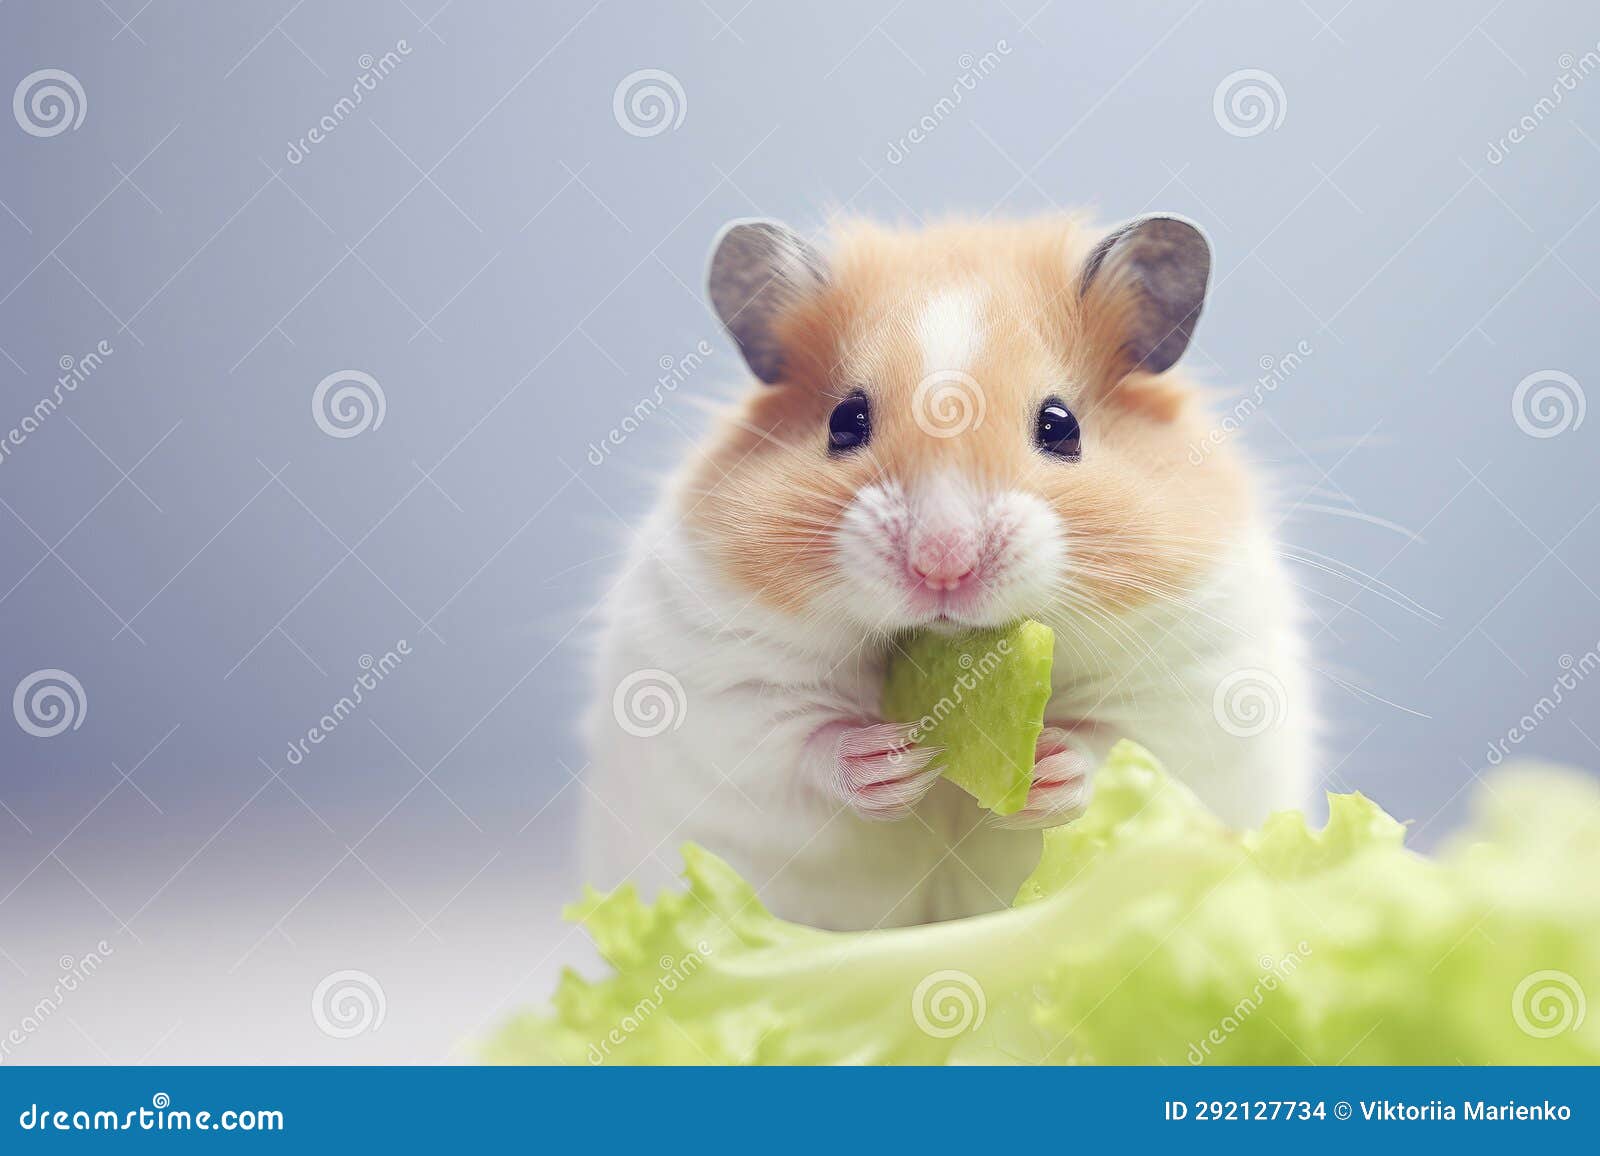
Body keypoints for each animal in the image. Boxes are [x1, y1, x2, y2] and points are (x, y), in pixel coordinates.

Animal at [579, 213, 1313, 931]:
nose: (942, 564)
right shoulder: (720, 684)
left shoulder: (1192, 682)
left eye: (1061, 426)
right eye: (845, 420)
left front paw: (1050, 768)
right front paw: (891, 759)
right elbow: (795, 738)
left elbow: (1118, 747)